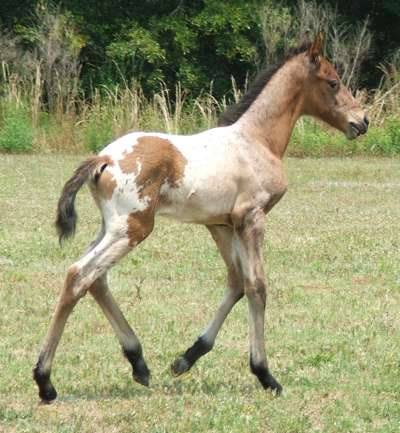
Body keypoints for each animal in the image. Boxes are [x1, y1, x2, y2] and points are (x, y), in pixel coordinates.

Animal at [33, 33, 368, 402]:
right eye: (333, 81)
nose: (362, 121)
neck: (256, 140)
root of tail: (102, 158)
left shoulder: (221, 224)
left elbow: (236, 282)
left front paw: (186, 358)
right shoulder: (252, 218)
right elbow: (257, 286)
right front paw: (265, 374)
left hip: (111, 227)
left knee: (96, 279)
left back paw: (138, 363)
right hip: (133, 228)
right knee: (79, 275)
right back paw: (45, 380)